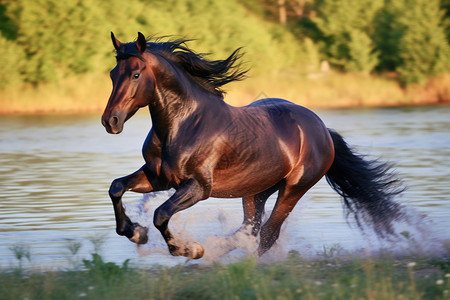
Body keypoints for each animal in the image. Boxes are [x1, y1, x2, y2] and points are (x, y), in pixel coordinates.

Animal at [102, 32, 404, 258]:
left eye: (136, 74)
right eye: (113, 74)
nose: (110, 121)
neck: (183, 124)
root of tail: (322, 130)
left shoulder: (198, 187)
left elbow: (161, 214)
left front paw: (190, 250)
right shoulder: (159, 177)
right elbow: (116, 187)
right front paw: (135, 232)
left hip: (294, 188)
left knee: (268, 232)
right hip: (256, 191)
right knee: (250, 228)